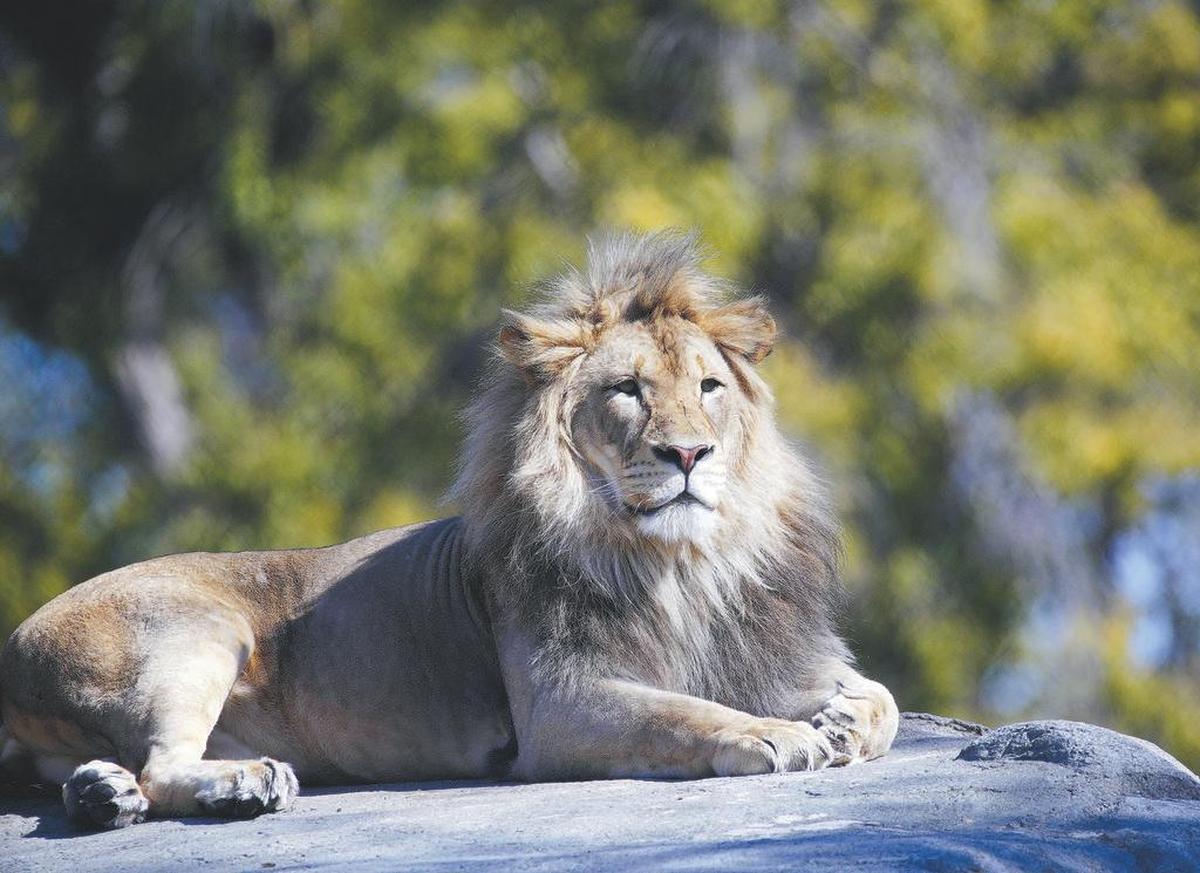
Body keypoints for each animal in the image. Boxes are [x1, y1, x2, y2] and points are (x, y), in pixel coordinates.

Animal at [0, 232, 897, 829]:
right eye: (628, 391)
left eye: (709, 387)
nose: (688, 453)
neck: (679, 562)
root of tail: (14, 646)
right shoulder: (560, 704)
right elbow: (689, 711)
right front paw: (780, 733)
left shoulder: (759, 648)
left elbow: (879, 696)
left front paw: (843, 720)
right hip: (198, 630)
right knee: (163, 766)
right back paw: (241, 782)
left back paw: (102, 792)